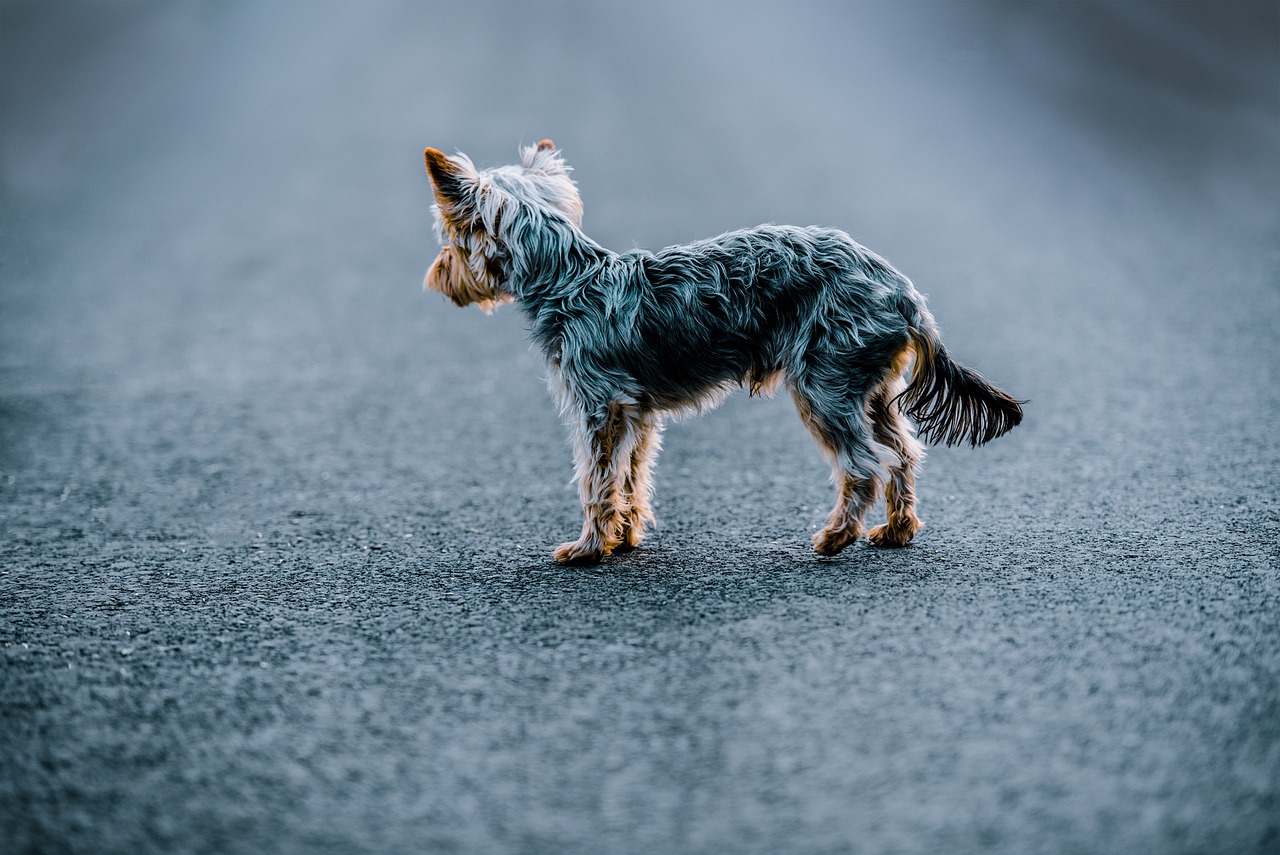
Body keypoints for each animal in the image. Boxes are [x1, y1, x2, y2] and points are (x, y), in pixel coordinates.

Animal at [424, 138, 1024, 568]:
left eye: (449, 240)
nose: (436, 276)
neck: (570, 280)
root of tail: (906, 294)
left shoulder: (597, 407)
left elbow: (596, 479)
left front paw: (589, 548)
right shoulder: (636, 413)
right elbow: (631, 476)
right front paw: (625, 537)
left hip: (823, 386)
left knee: (864, 466)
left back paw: (834, 538)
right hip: (870, 387)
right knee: (903, 453)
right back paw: (896, 531)